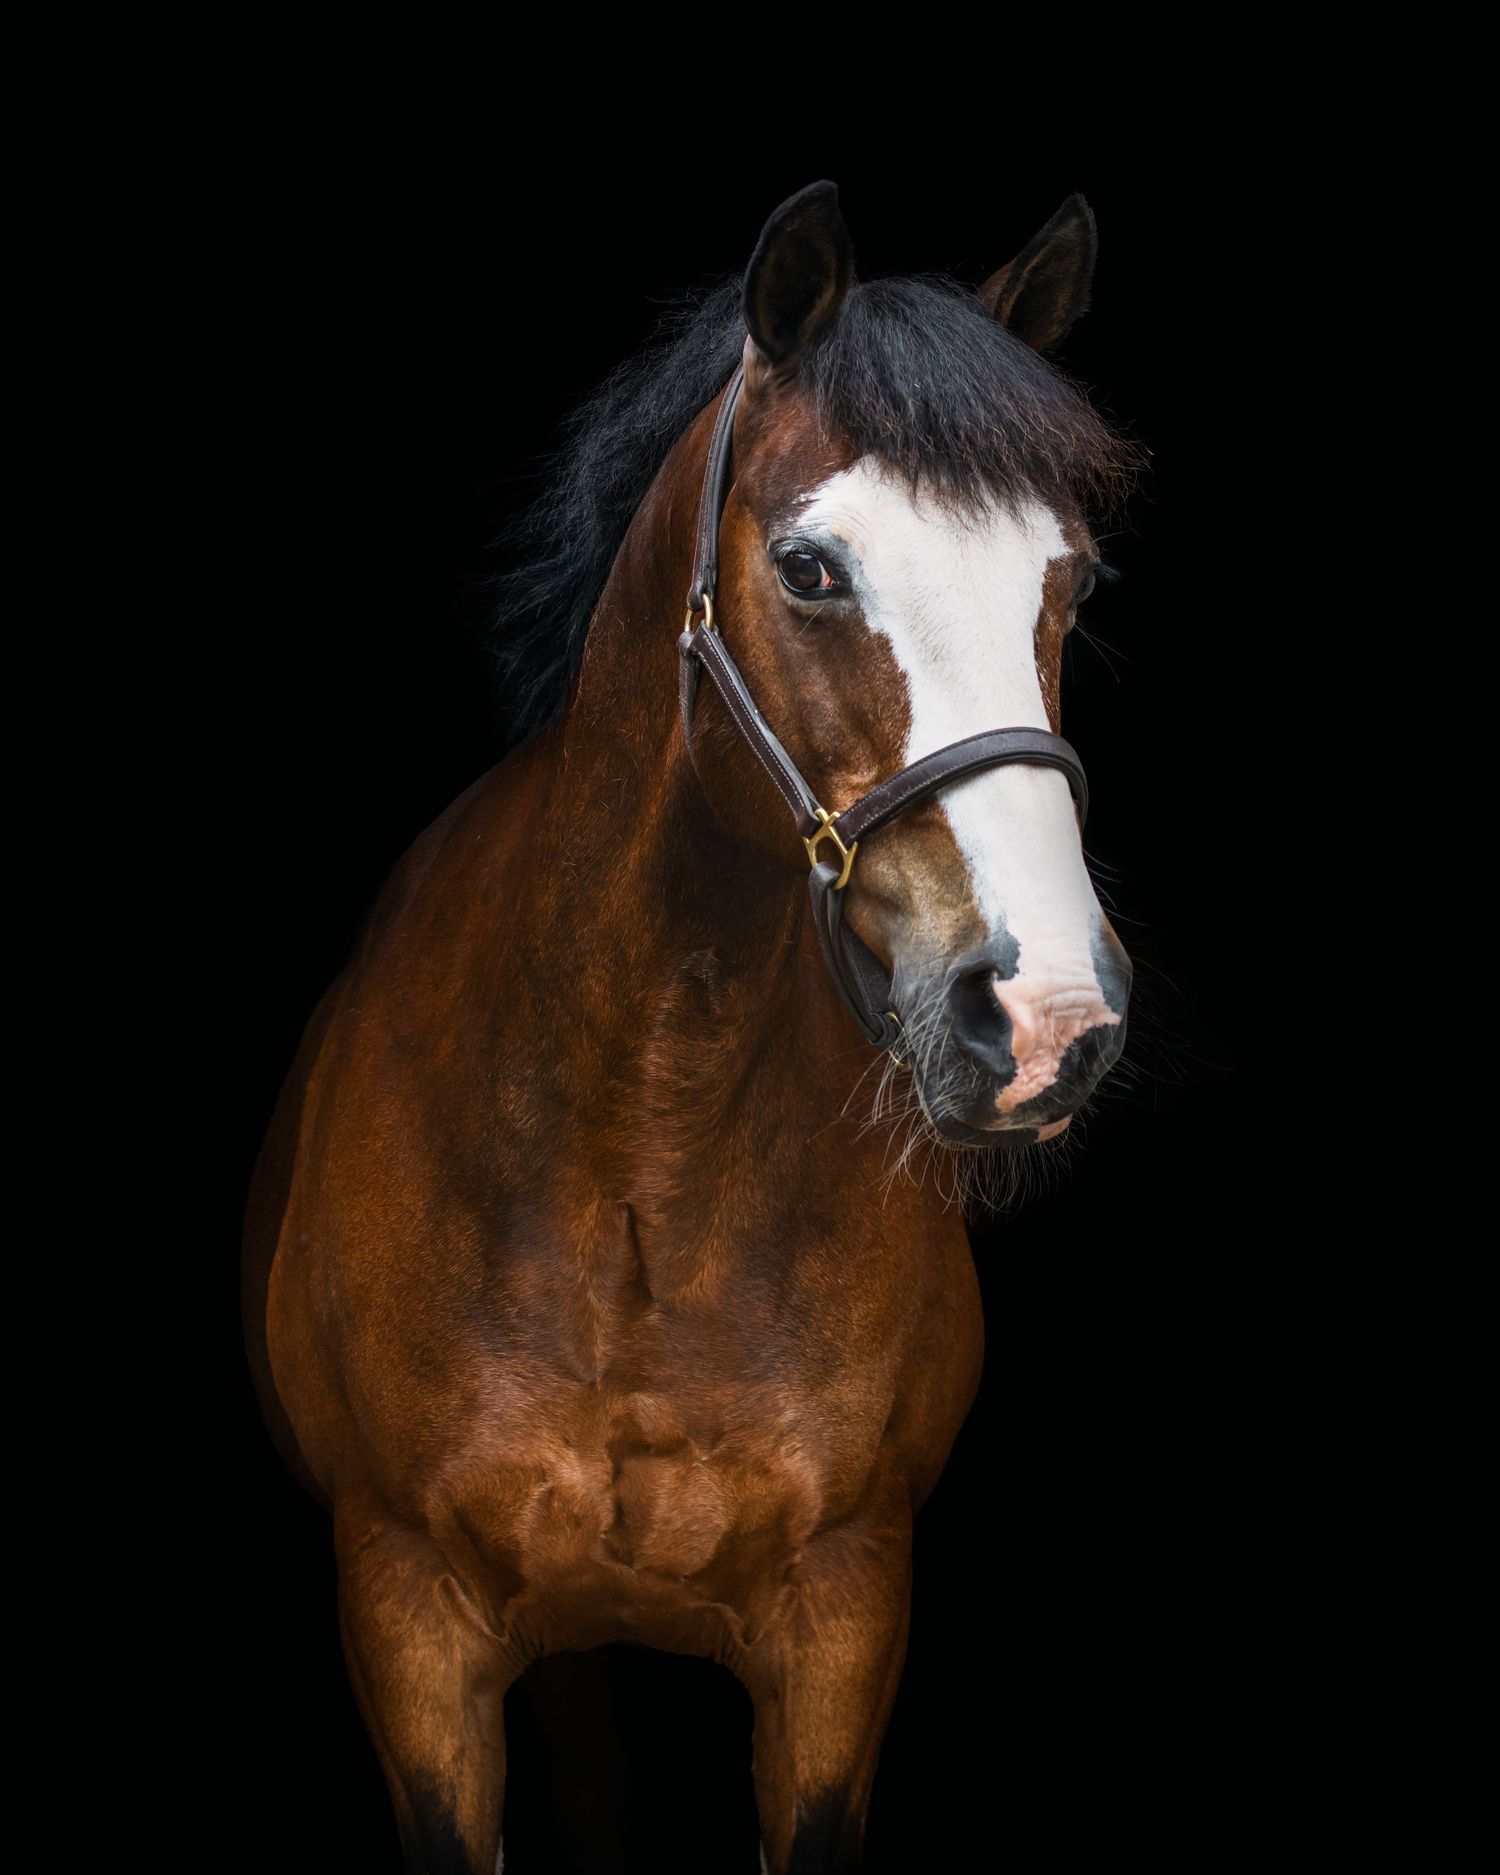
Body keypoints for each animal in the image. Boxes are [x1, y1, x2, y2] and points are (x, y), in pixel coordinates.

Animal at [242, 179, 1143, 1873]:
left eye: (1070, 580)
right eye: (809, 568)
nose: (1047, 1011)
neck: (640, 1152)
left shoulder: (847, 1605)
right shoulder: (409, 1615)